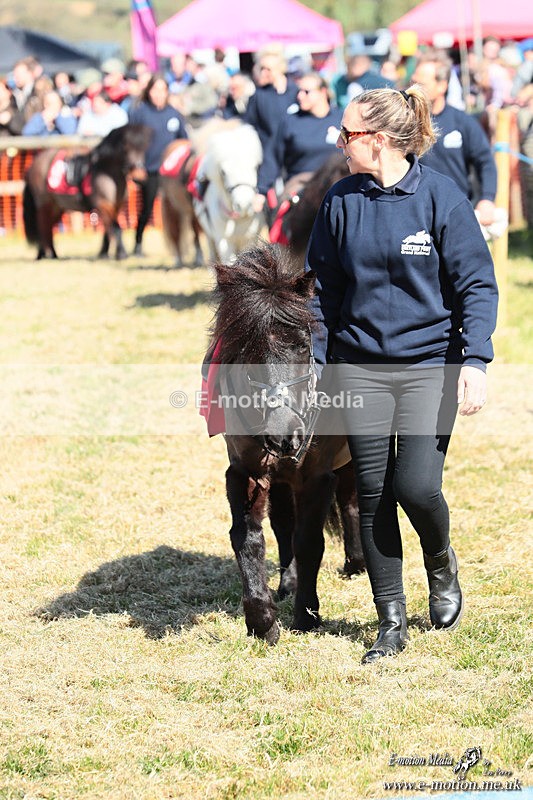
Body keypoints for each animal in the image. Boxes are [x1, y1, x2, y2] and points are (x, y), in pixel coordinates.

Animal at [23, 124, 152, 260]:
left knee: (47, 227)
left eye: (144, 148)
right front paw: (121, 253)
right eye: (125, 147)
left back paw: (48, 253)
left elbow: (108, 231)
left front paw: (104, 253)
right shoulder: (103, 205)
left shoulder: (116, 207)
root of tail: (33, 166)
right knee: (42, 226)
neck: (106, 172)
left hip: (56, 206)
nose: (139, 176)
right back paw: (47, 254)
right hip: (44, 203)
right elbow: (116, 228)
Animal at [209, 242, 364, 644]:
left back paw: (356, 563)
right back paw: (288, 585)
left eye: (302, 345)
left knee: (352, 502)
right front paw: (263, 620)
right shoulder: (245, 472)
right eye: (244, 348)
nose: (284, 434)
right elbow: (249, 538)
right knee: (283, 523)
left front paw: (307, 615)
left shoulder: (317, 476)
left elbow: (310, 542)